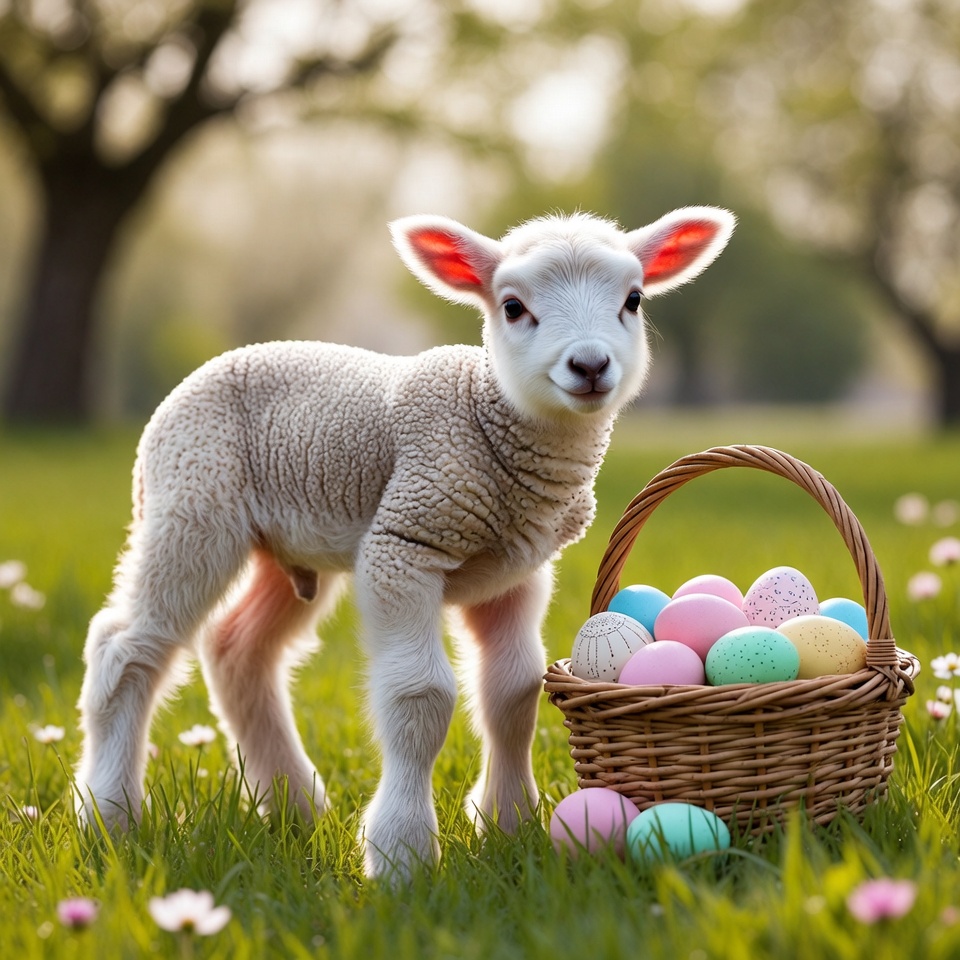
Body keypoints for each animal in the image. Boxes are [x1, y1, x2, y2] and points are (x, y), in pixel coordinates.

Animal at [75, 206, 734, 879]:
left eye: (633, 300)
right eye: (513, 307)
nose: (590, 365)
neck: (488, 419)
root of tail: (198, 376)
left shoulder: (516, 571)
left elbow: (514, 691)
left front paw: (510, 824)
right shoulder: (406, 539)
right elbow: (422, 695)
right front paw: (403, 855)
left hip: (290, 545)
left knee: (238, 649)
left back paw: (294, 806)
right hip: (191, 505)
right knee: (125, 647)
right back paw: (109, 817)